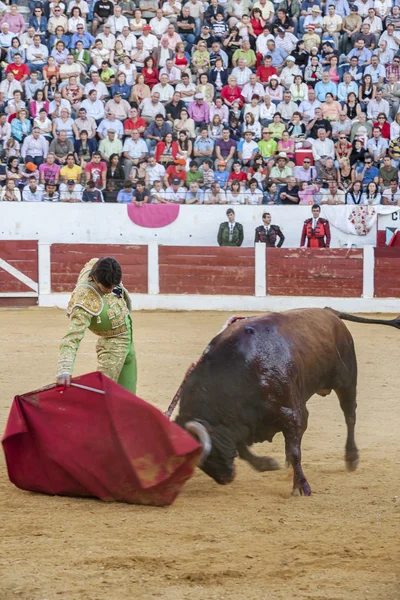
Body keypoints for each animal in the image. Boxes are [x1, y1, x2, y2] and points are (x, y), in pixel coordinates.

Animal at [176, 308, 400, 494]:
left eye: (209, 452)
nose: (225, 478)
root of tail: (329, 312)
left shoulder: (291, 413)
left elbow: (294, 451)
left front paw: (301, 486)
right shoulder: (243, 422)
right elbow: (244, 450)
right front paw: (267, 464)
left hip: (347, 381)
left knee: (350, 415)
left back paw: (351, 457)